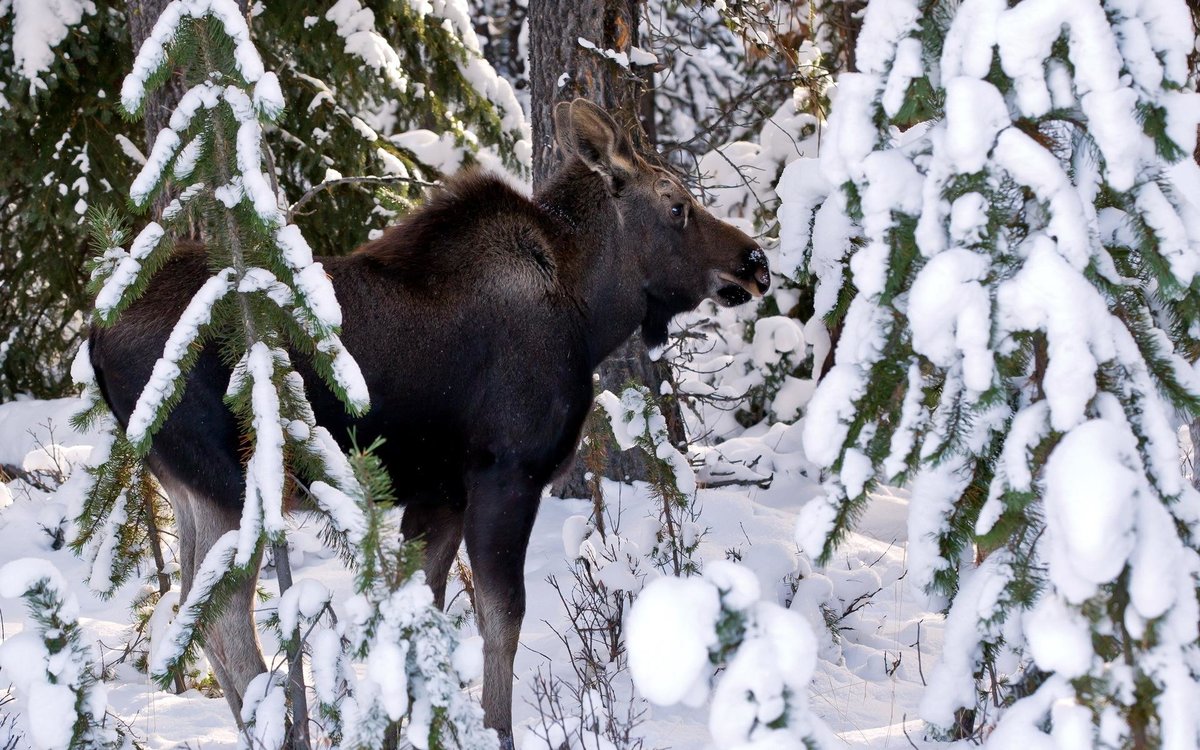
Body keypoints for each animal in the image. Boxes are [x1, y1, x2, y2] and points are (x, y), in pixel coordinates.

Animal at [89, 99, 770, 747]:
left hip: (187, 485)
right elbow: (501, 619)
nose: (756, 261)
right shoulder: (507, 474)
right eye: (677, 205)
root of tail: (94, 338)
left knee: (190, 610)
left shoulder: (438, 497)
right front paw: (495, 729)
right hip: (233, 481)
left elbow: (419, 620)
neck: (589, 314)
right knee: (224, 615)